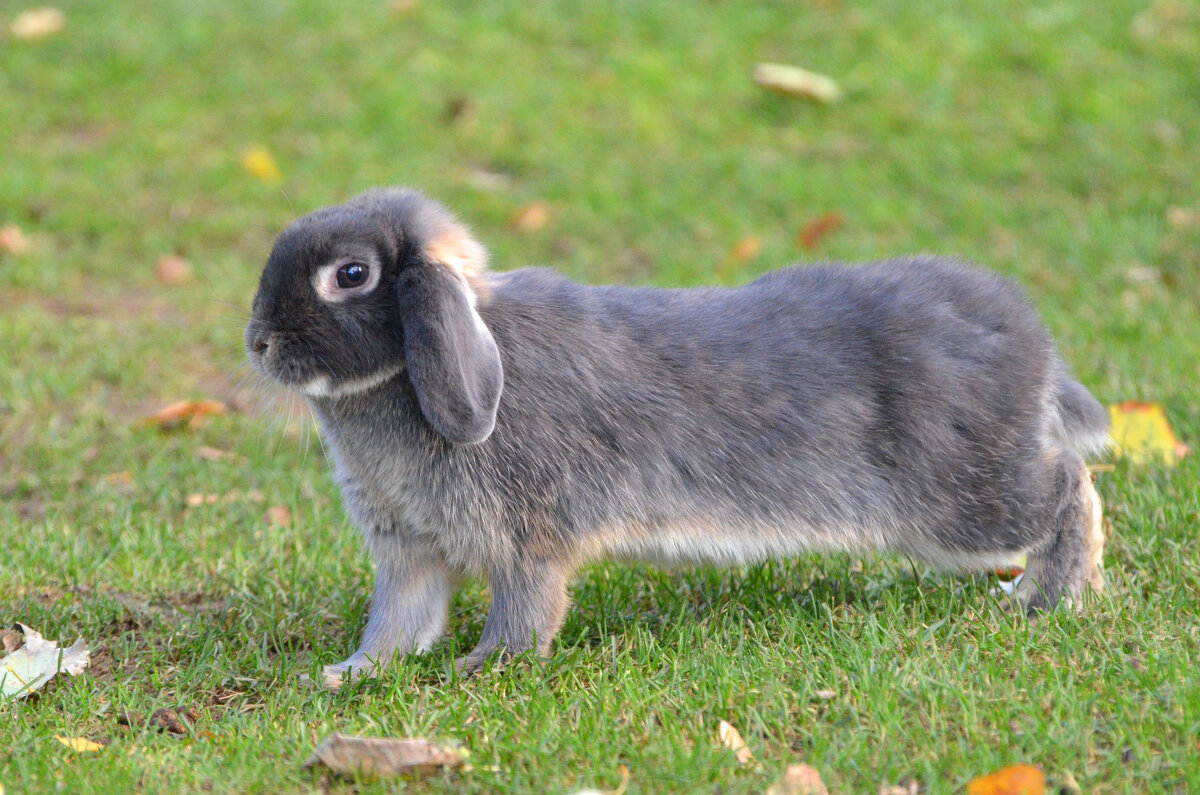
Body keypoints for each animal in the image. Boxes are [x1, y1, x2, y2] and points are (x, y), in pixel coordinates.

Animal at [243, 189, 1104, 686]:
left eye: (351, 275)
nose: (258, 343)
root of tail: (1032, 342)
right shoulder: (409, 552)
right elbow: (398, 620)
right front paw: (348, 673)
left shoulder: (527, 540)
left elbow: (526, 609)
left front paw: (484, 667)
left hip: (963, 502)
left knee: (1069, 485)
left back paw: (1046, 597)